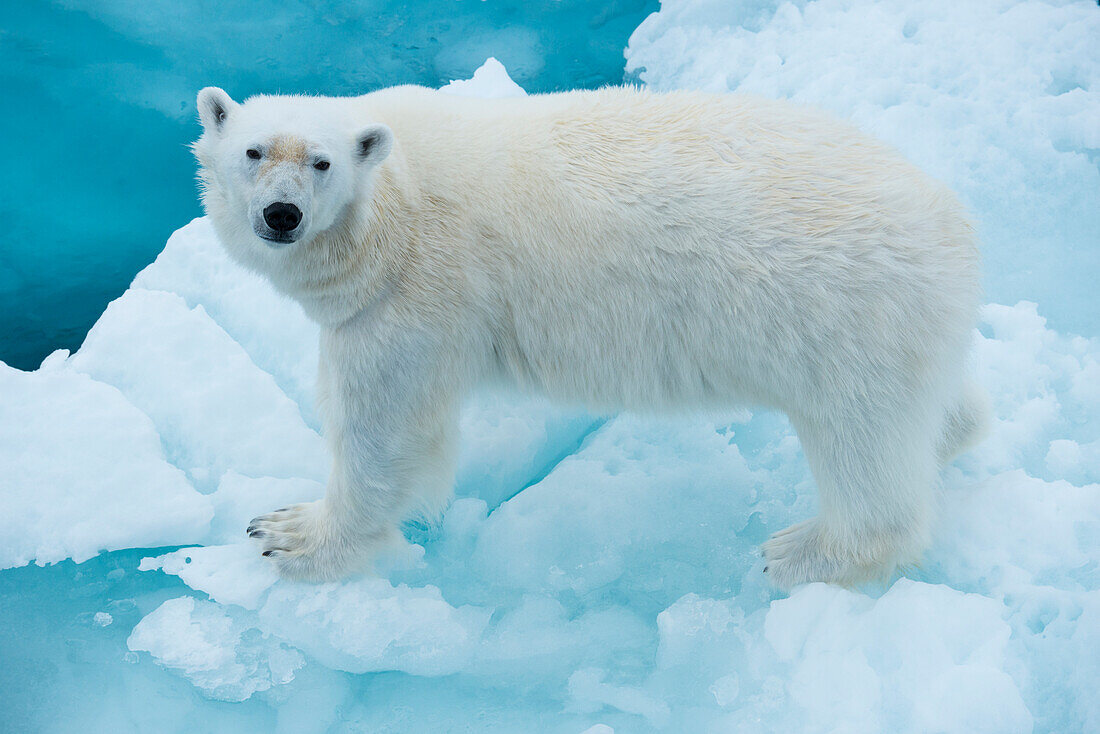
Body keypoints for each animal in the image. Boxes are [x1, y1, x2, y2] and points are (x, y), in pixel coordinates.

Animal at [191, 86, 990, 589]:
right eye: (254, 152)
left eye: (321, 161)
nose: (283, 215)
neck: (399, 198)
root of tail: (955, 221)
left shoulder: (421, 291)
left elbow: (384, 428)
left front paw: (291, 533)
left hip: (848, 318)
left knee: (863, 445)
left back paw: (801, 552)